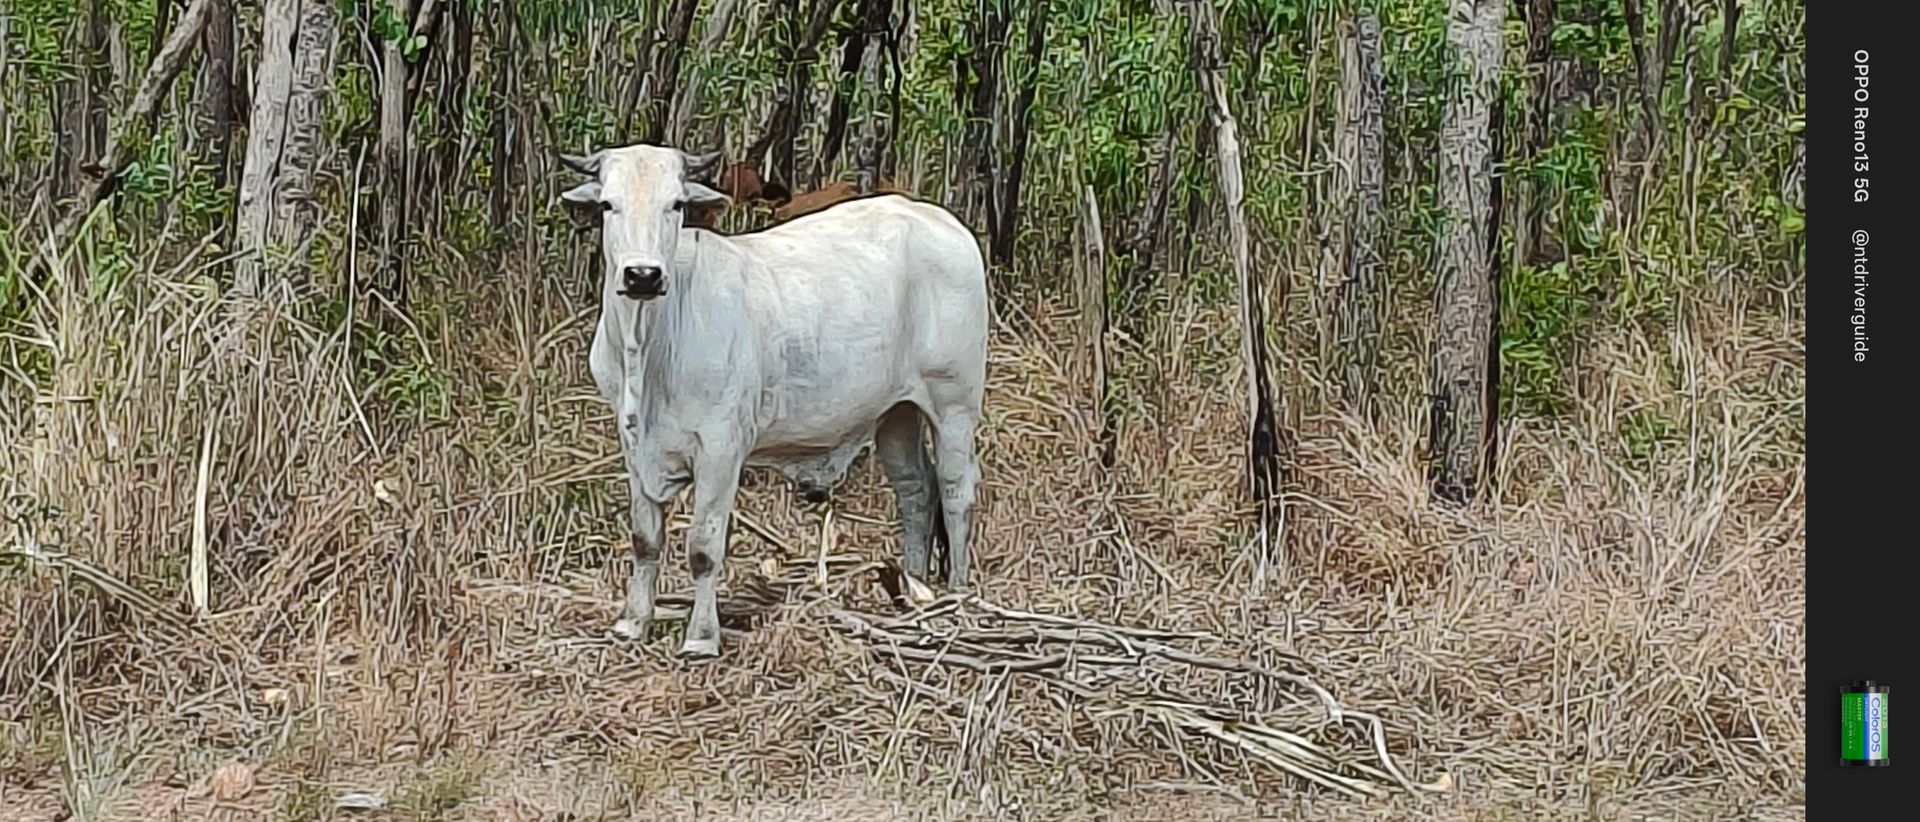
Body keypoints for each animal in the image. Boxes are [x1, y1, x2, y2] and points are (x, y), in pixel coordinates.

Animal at [555, 143, 988, 659]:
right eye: (608, 205)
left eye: (676, 205)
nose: (643, 275)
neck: (649, 344)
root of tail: (936, 220)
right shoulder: (634, 446)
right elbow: (644, 539)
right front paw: (632, 623)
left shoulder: (721, 448)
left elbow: (703, 548)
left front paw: (700, 637)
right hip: (896, 413)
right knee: (916, 490)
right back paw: (914, 588)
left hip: (954, 403)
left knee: (956, 491)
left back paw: (956, 596)